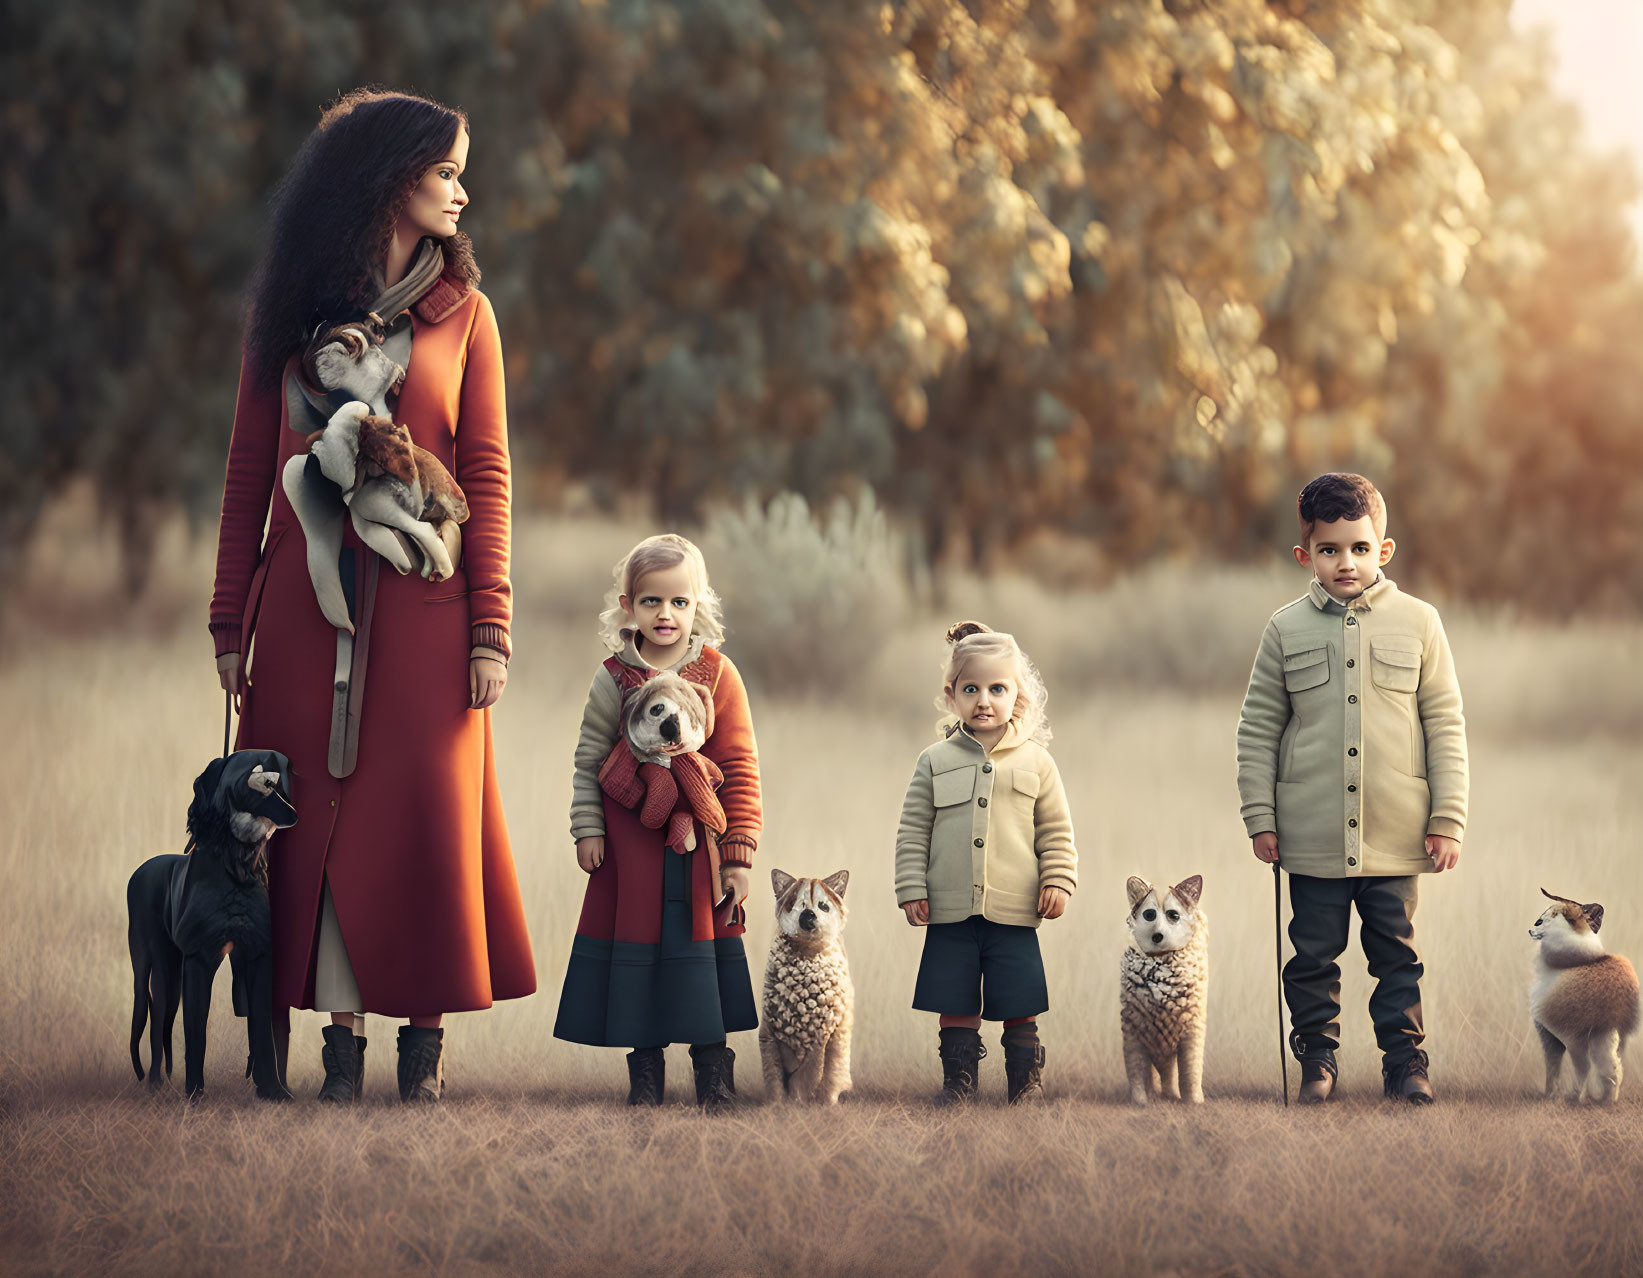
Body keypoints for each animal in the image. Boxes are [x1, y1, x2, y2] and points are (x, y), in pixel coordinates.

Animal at [128, 745, 299, 1097]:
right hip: (155, 965)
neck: (238, 867)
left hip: (172, 972)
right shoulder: (200, 958)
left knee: (162, 1022)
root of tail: (142, 867)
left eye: (281, 784)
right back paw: (156, 1085)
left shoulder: (259, 956)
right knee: (155, 1019)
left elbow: (262, 1030)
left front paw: (273, 1091)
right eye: (264, 782)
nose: (294, 814)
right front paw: (194, 1094)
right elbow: (196, 1032)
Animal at [759, 873, 854, 1097]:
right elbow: (774, 1081)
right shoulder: (768, 1035)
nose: (808, 915)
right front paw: (776, 1103)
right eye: (794, 904)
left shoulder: (823, 1037)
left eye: (824, 906)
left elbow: (809, 1076)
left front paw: (802, 1100)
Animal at [1117, 873, 1209, 1097]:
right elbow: (1137, 1074)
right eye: (1149, 914)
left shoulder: (1192, 1034)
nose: (1158, 935)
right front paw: (1140, 1101)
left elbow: (1190, 1075)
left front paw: (1193, 1101)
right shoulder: (1133, 1035)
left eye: (1173, 915)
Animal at [1531, 880, 1636, 1097]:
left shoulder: (1552, 1034)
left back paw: (1575, 1097)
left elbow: (1556, 1066)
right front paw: (1551, 1094)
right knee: (1613, 1069)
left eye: (1541, 921)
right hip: (1607, 1037)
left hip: (1578, 1038)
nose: (1531, 928)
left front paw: (1552, 1095)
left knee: (1588, 1066)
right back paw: (1605, 1099)